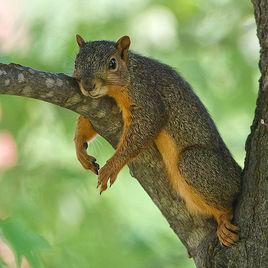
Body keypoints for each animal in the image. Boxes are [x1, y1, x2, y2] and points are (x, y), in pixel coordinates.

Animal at [73, 34, 241, 247]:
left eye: (112, 63)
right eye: (76, 61)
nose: (88, 86)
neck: (131, 72)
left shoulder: (147, 95)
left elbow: (145, 128)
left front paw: (112, 165)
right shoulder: (99, 105)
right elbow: (87, 121)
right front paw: (80, 148)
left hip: (197, 164)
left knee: (228, 200)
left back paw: (225, 218)